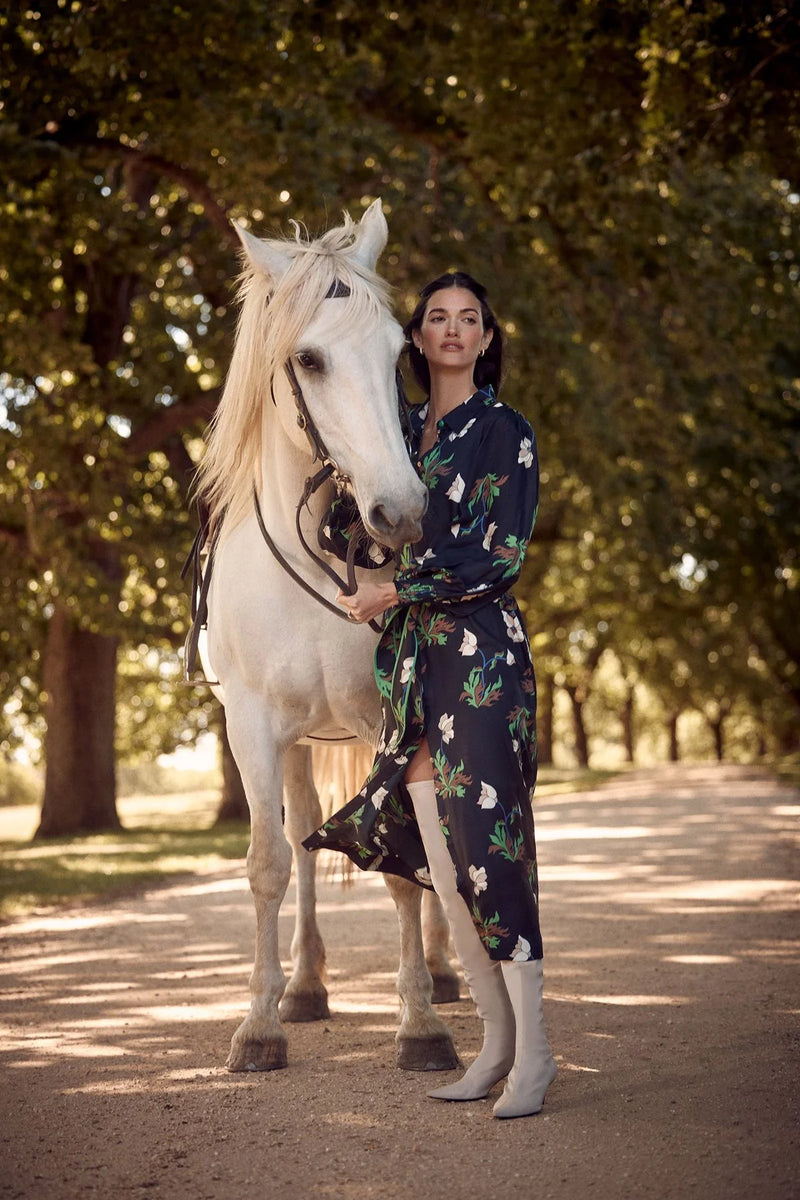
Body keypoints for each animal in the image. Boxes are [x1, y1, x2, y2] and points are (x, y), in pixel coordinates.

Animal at [196, 201, 460, 1075]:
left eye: (399, 353)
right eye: (308, 358)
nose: (400, 512)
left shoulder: (387, 721)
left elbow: (405, 868)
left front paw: (421, 1024)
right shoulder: (251, 728)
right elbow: (270, 862)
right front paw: (260, 1024)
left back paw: (445, 969)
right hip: (298, 744)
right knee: (304, 835)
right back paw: (307, 985)